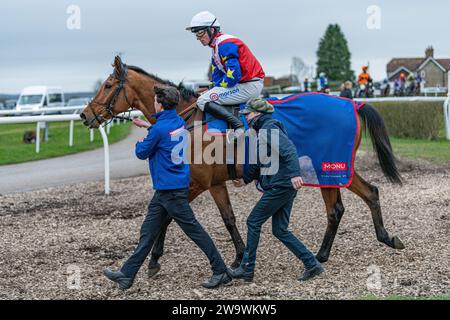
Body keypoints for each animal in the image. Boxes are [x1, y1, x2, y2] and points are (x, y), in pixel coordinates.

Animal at [80, 56, 404, 276]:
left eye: (108, 85)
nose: (84, 115)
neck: (187, 120)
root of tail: (352, 104)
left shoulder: (197, 183)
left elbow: (167, 217)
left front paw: (155, 260)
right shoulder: (214, 183)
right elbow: (228, 218)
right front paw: (239, 255)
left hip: (328, 166)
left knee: (341, 206)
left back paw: (332, 251)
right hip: (333, 168)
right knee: (364, 195)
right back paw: (376, 240)